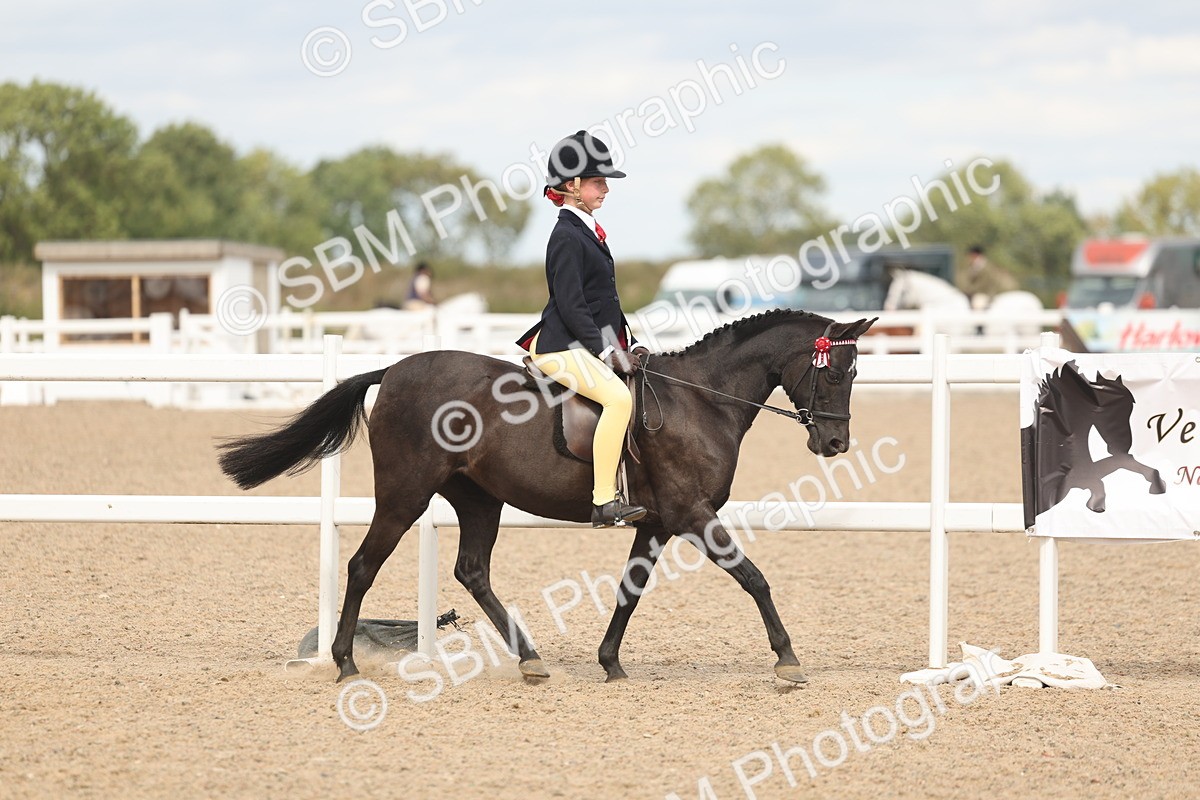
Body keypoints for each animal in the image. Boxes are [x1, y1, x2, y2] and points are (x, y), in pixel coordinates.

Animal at [217, 310, 876, 684]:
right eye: (836, 371)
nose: (836, 442)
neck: (702, 399)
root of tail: (394, 369)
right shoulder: (692, 514)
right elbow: (753, 576)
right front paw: (787, 661)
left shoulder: (658, 521)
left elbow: (630, 590)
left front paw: (610, 662)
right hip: (406, 495)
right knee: (362, 565)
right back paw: (346, 662)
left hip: (478, 499)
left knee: (472, 571)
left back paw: (530, 659)